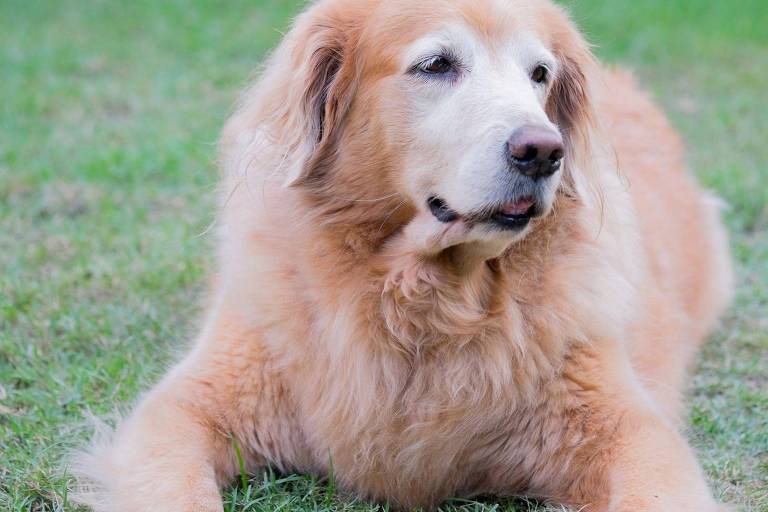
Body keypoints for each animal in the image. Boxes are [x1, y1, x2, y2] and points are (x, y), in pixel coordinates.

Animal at [72, 1, 732, 512]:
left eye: (540, 74)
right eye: (437, 65)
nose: (545, 150)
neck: (423, 297)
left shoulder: (631, 430)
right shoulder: (184, 408)